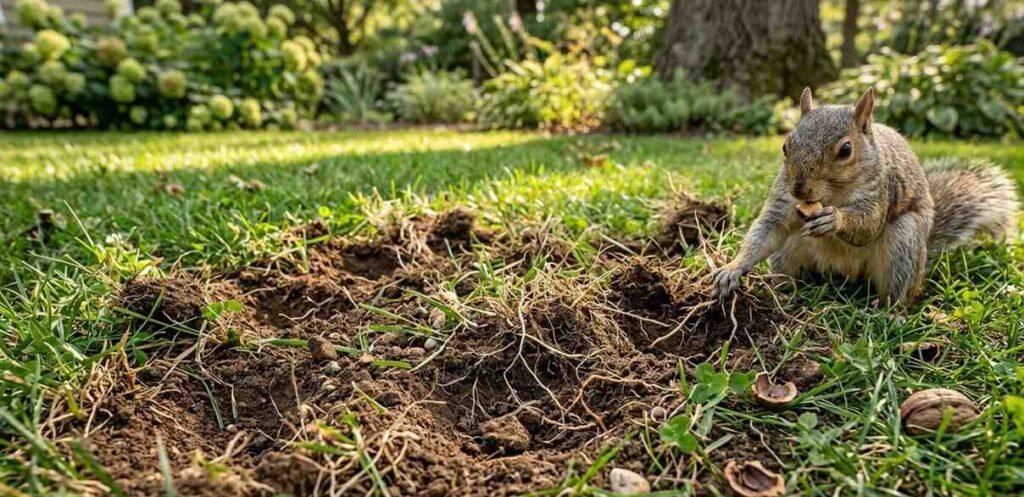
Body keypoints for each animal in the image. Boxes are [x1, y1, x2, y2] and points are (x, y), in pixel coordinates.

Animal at [712, 87, 1020, 305]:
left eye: (845, 150)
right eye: (785, 146)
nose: (799, 189)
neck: (833, 194)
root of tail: (843, 272)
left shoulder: (880, 190)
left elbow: (869, 224)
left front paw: (834, 220)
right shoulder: (782, 199)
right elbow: (767, 229)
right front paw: (732, 268)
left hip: (904, 243)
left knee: (898, 293)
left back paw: (890, 314)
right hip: (790, 252)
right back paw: (784, 293)